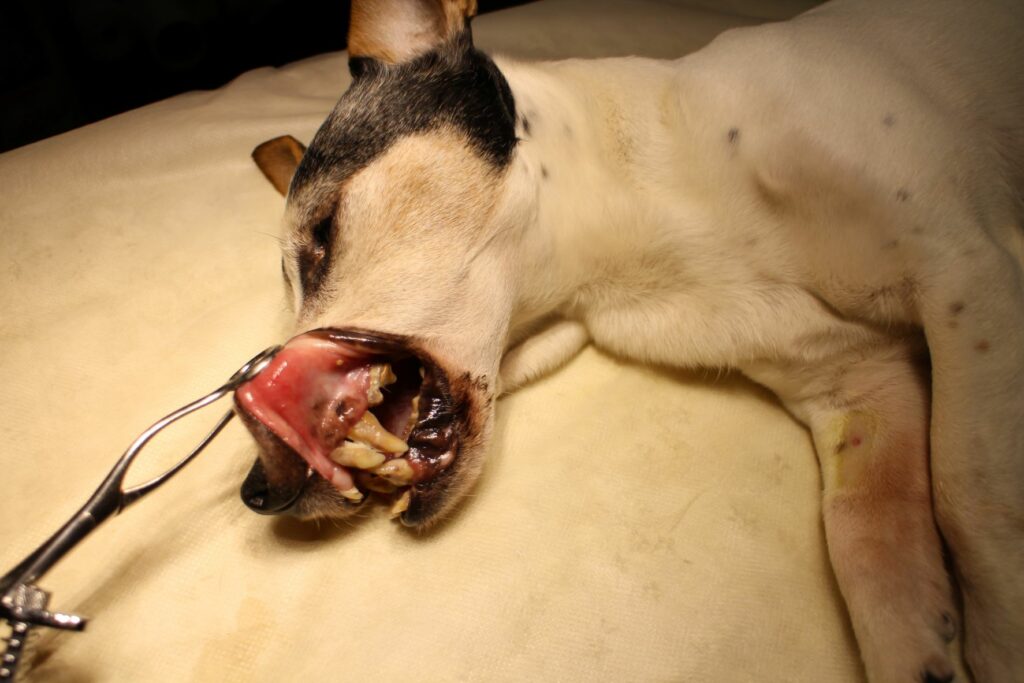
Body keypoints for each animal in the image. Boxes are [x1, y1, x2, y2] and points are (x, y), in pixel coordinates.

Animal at [239, 2, 1024, 679]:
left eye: (323, 233)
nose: (257, 491)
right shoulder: (860, 390)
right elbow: (868, 544)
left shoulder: (968, 276)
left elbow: (973, 498)